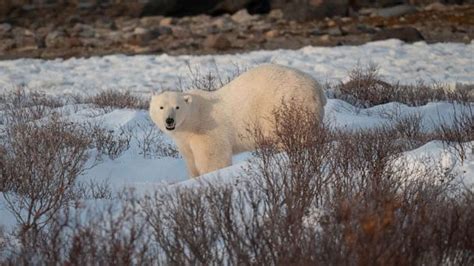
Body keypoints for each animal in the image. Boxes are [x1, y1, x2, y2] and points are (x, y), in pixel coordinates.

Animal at [149, 63, 326, 178]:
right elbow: (191, 160)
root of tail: (318, 88)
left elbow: (213, 158)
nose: (169, 120)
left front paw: (208, 176)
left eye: (177, 107)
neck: (194, 118)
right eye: (161, 107)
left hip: (287, 105)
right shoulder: (185, 140)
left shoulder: (208, 131)